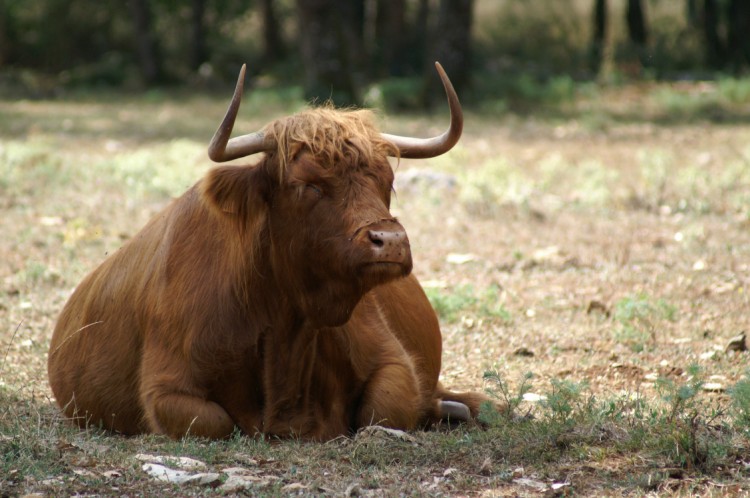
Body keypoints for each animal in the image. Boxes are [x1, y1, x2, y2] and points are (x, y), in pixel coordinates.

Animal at [48, 62, 494, 440]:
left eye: (387, 180)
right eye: (309, 185)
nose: (391, 241)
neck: (286, 324)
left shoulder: (392, 359)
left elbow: (384, 409)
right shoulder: (167, 386)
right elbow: (214, 421)